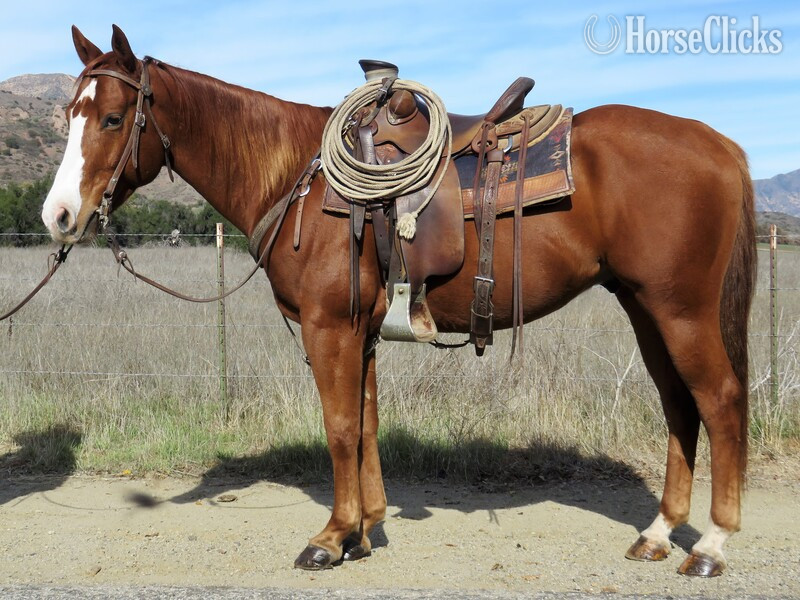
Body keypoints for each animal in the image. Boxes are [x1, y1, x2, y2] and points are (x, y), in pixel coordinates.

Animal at [41, 25, 756, 577]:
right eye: (68, 115)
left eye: (111, 118)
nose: (58, 216)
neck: (298, 178)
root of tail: (721, 145)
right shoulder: (357, 333)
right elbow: (365, 425)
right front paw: (363, 531)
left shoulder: (329, 328)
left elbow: (338, 427)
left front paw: (330, 538)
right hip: (645, 308)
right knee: (678, 406)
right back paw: (658, 535)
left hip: (681, 310)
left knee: (718, 401)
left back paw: (711, 545)